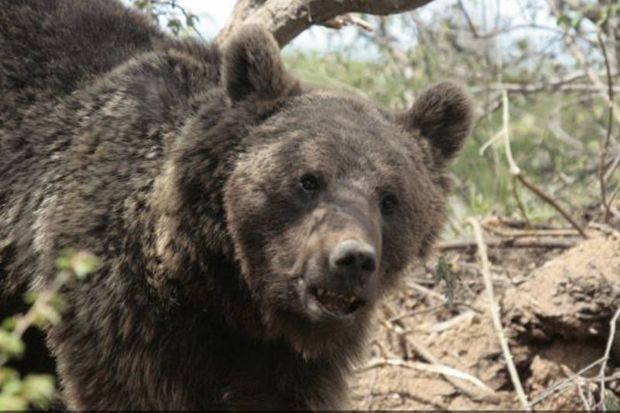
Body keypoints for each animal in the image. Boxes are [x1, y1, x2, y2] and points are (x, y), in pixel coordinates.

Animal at [1, 0, 470, 408]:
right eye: (308, 180)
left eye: (390, 199)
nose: (352, 259)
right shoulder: (116, 307)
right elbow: (129, 388)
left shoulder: (286, 358)